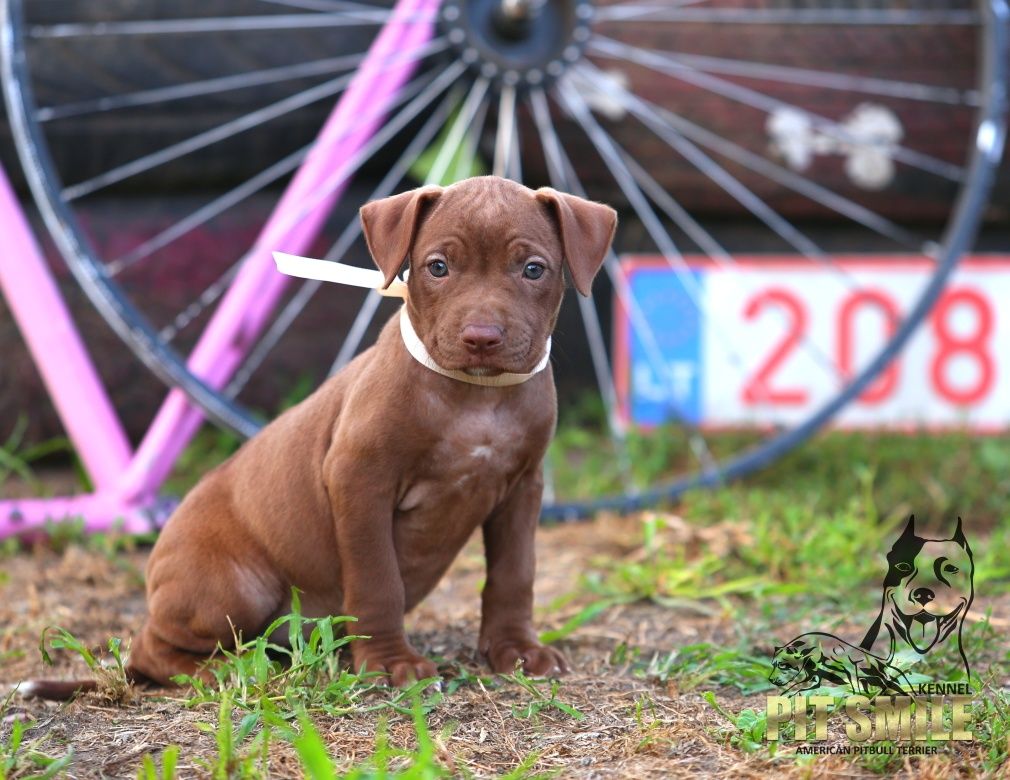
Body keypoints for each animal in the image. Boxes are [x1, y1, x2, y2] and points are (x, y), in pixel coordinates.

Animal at [113, 173, 614, 687]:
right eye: (438, 267)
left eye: (533, 270)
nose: (481, 337)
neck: (477, 396)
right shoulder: (360, 480)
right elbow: (377, 579)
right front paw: (391, 661)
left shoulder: (521, 489)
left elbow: (514, 574)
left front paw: (517, 649)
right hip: (237, 588)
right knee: (149, 646)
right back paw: (216, 673)